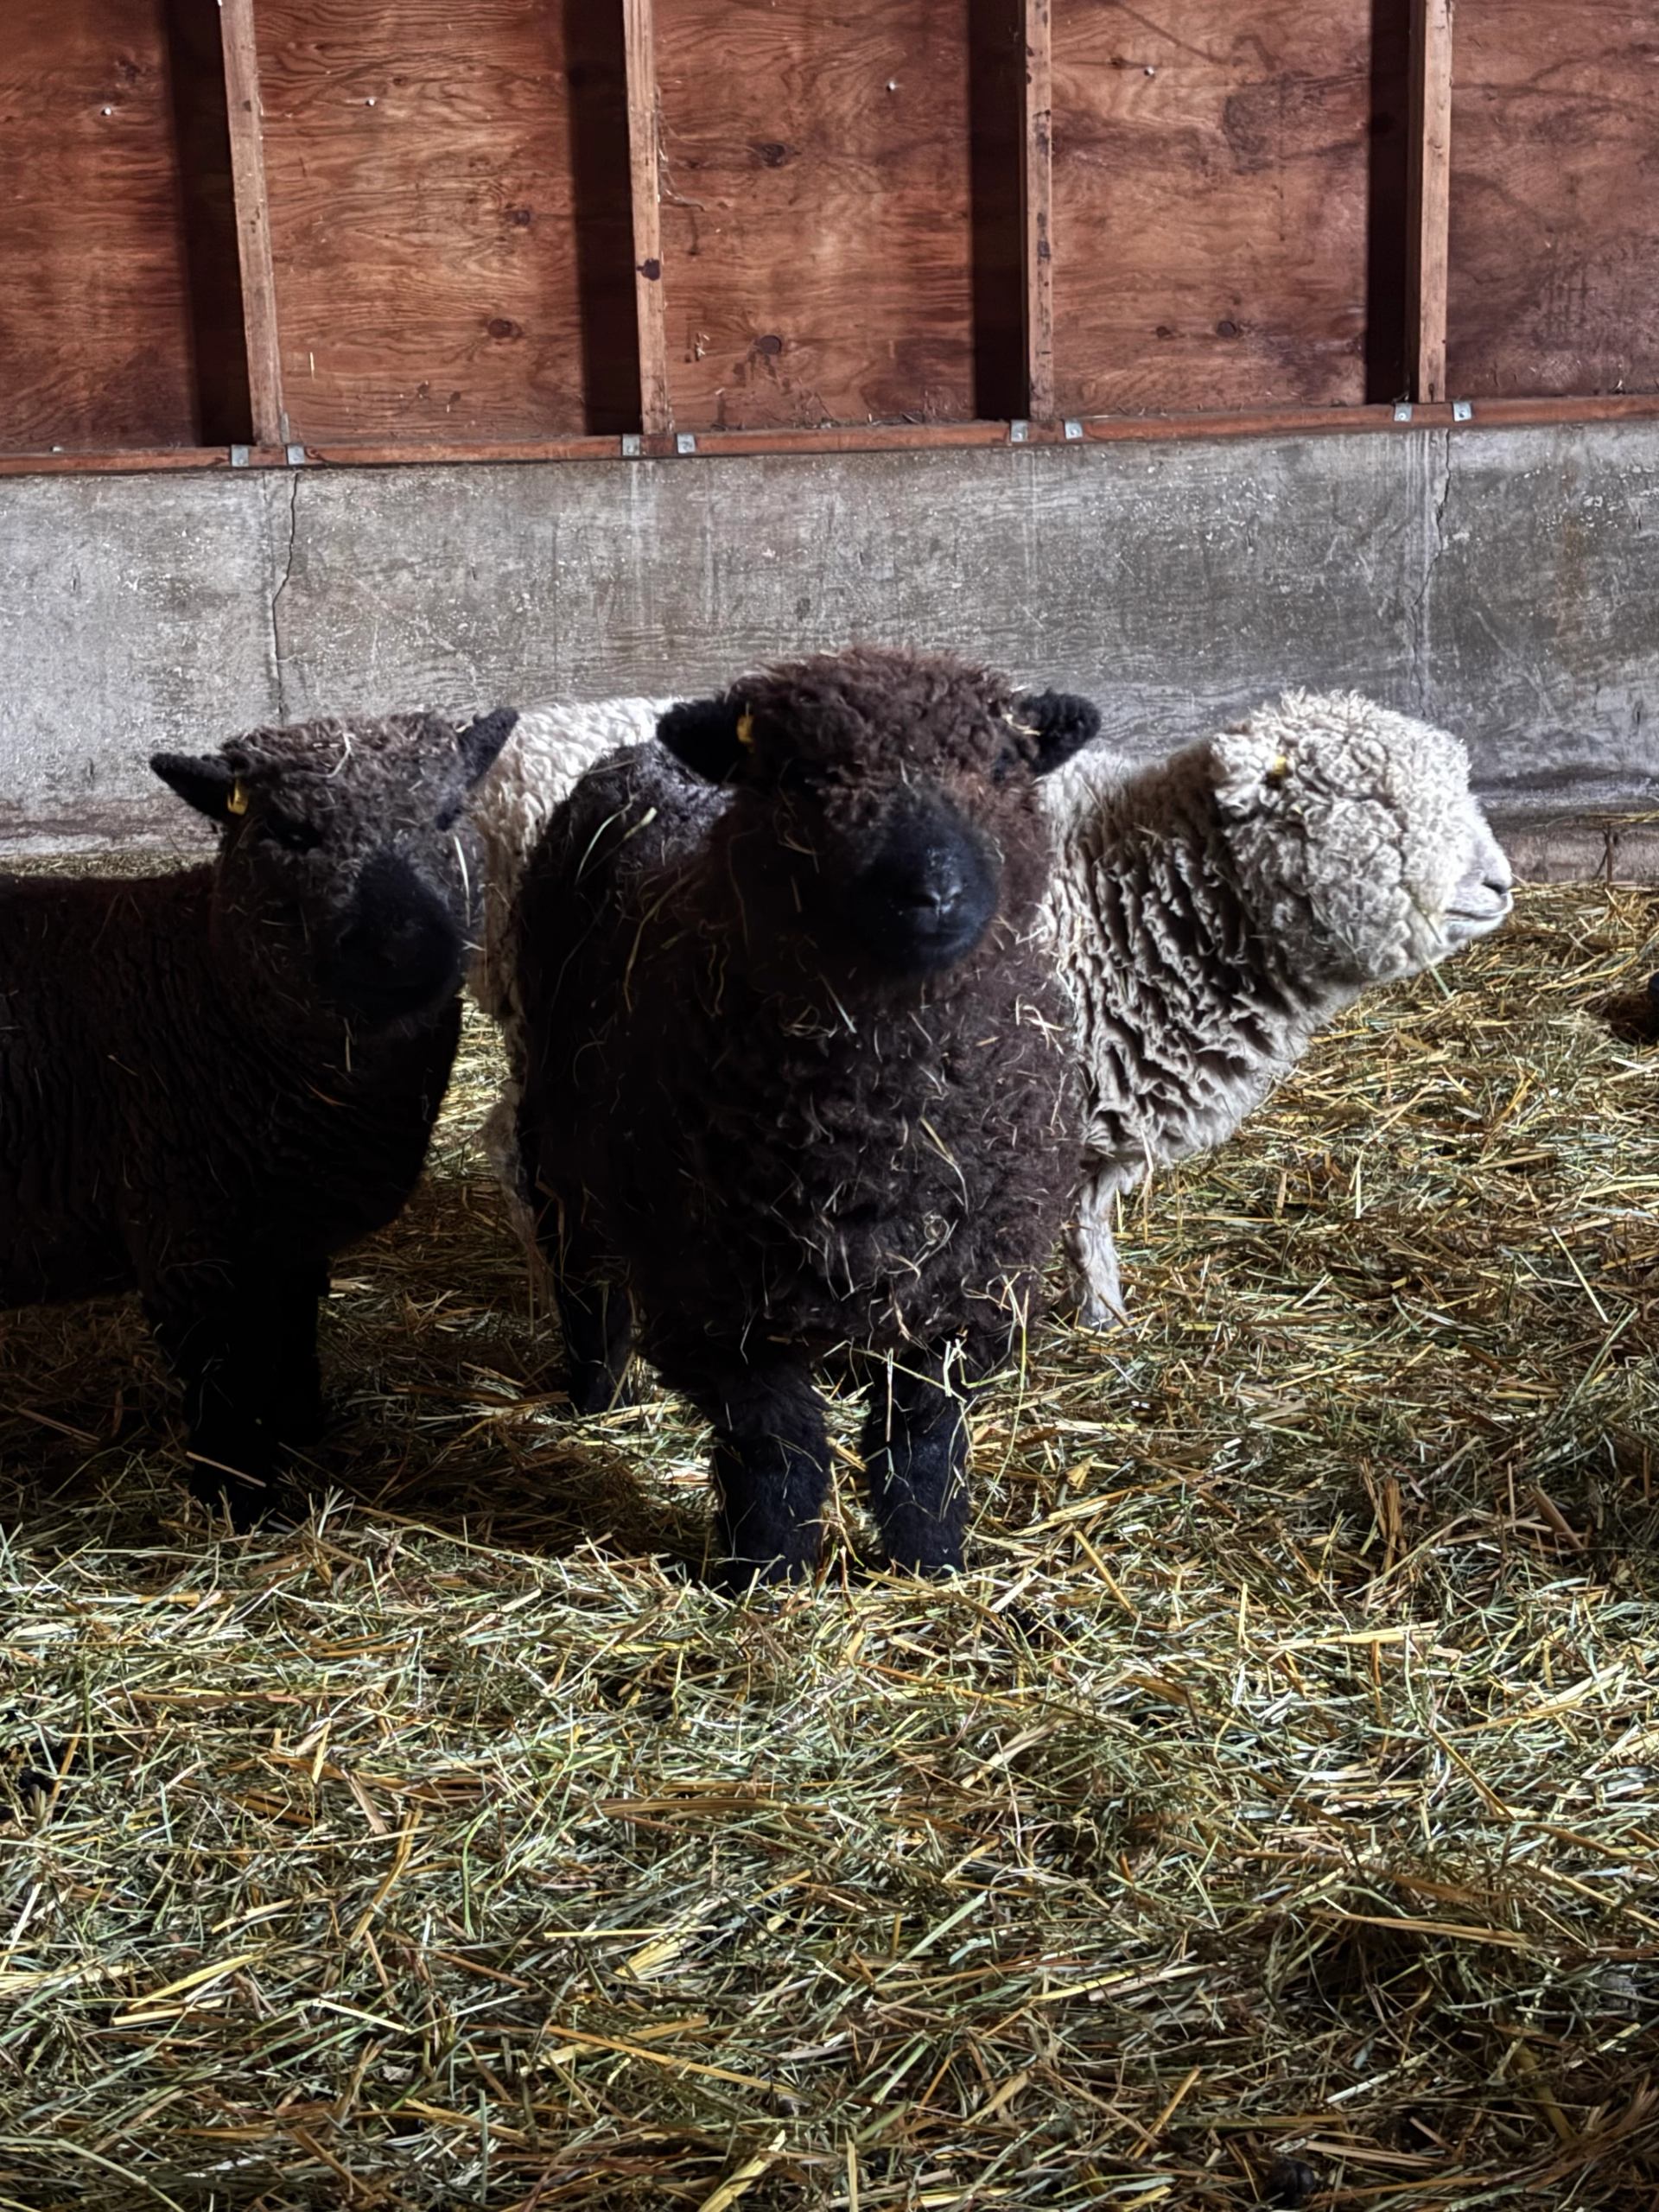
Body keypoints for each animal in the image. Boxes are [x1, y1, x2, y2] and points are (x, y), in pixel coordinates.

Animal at [0, 706, 518, 1527]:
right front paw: (241, 1500)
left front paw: (302, 1429)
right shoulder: (191, 1237)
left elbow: (293, 1333)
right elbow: (225, 1373)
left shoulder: (288, 1231)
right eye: (290, 832)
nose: (402, 947)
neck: (205, 984)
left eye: (447, 815)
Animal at [511, 648, 1100, 1589]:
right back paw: (597, 1396)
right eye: (802, 776)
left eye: (1003, 765)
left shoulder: (960, 1293)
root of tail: (642, 744)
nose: (929, 891)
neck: (880, 1129)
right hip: (558, 1122)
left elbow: (923, 1445)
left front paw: (930, 1563)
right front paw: (768, 1571)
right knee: (582, 1268)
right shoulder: (716, 1301)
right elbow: (775, 1449)